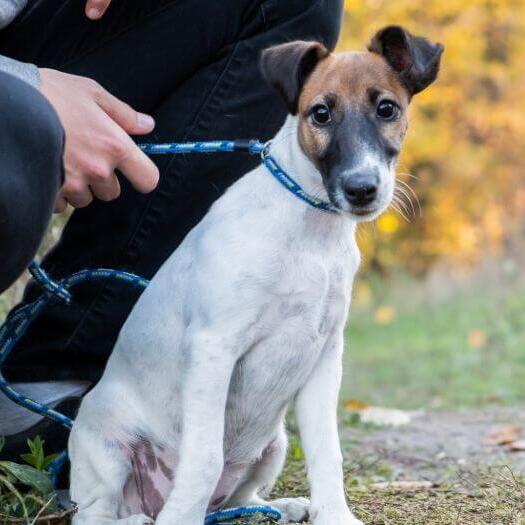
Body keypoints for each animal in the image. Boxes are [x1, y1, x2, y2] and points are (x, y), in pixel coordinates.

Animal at [69, 26, 442, 524]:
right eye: (320, 114)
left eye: (387, 109)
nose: (362, 189)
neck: (310, 233)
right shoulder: (214, 347)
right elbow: (204, 457)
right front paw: (180, 518)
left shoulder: (325, 355)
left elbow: (327, 451)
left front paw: (334, 513)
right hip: (107, 449)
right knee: (93, 512)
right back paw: (143, 517)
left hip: (272, 446)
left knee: (239, 498)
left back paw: (280, 506)